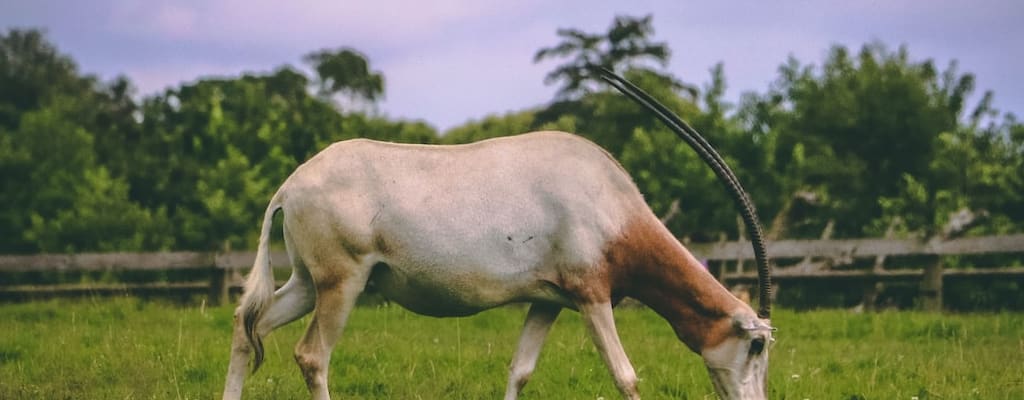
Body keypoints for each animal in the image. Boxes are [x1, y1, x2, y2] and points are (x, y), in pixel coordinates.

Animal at [220, 72, 770, 400]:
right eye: (757, 346)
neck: (610, 204)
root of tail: (291, 185)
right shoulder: (591, 295)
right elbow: (626, 376)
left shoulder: (548, 300)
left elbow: (519, 370)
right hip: (343, 283)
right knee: (312, 356)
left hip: (308, 284)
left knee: (250, 327)